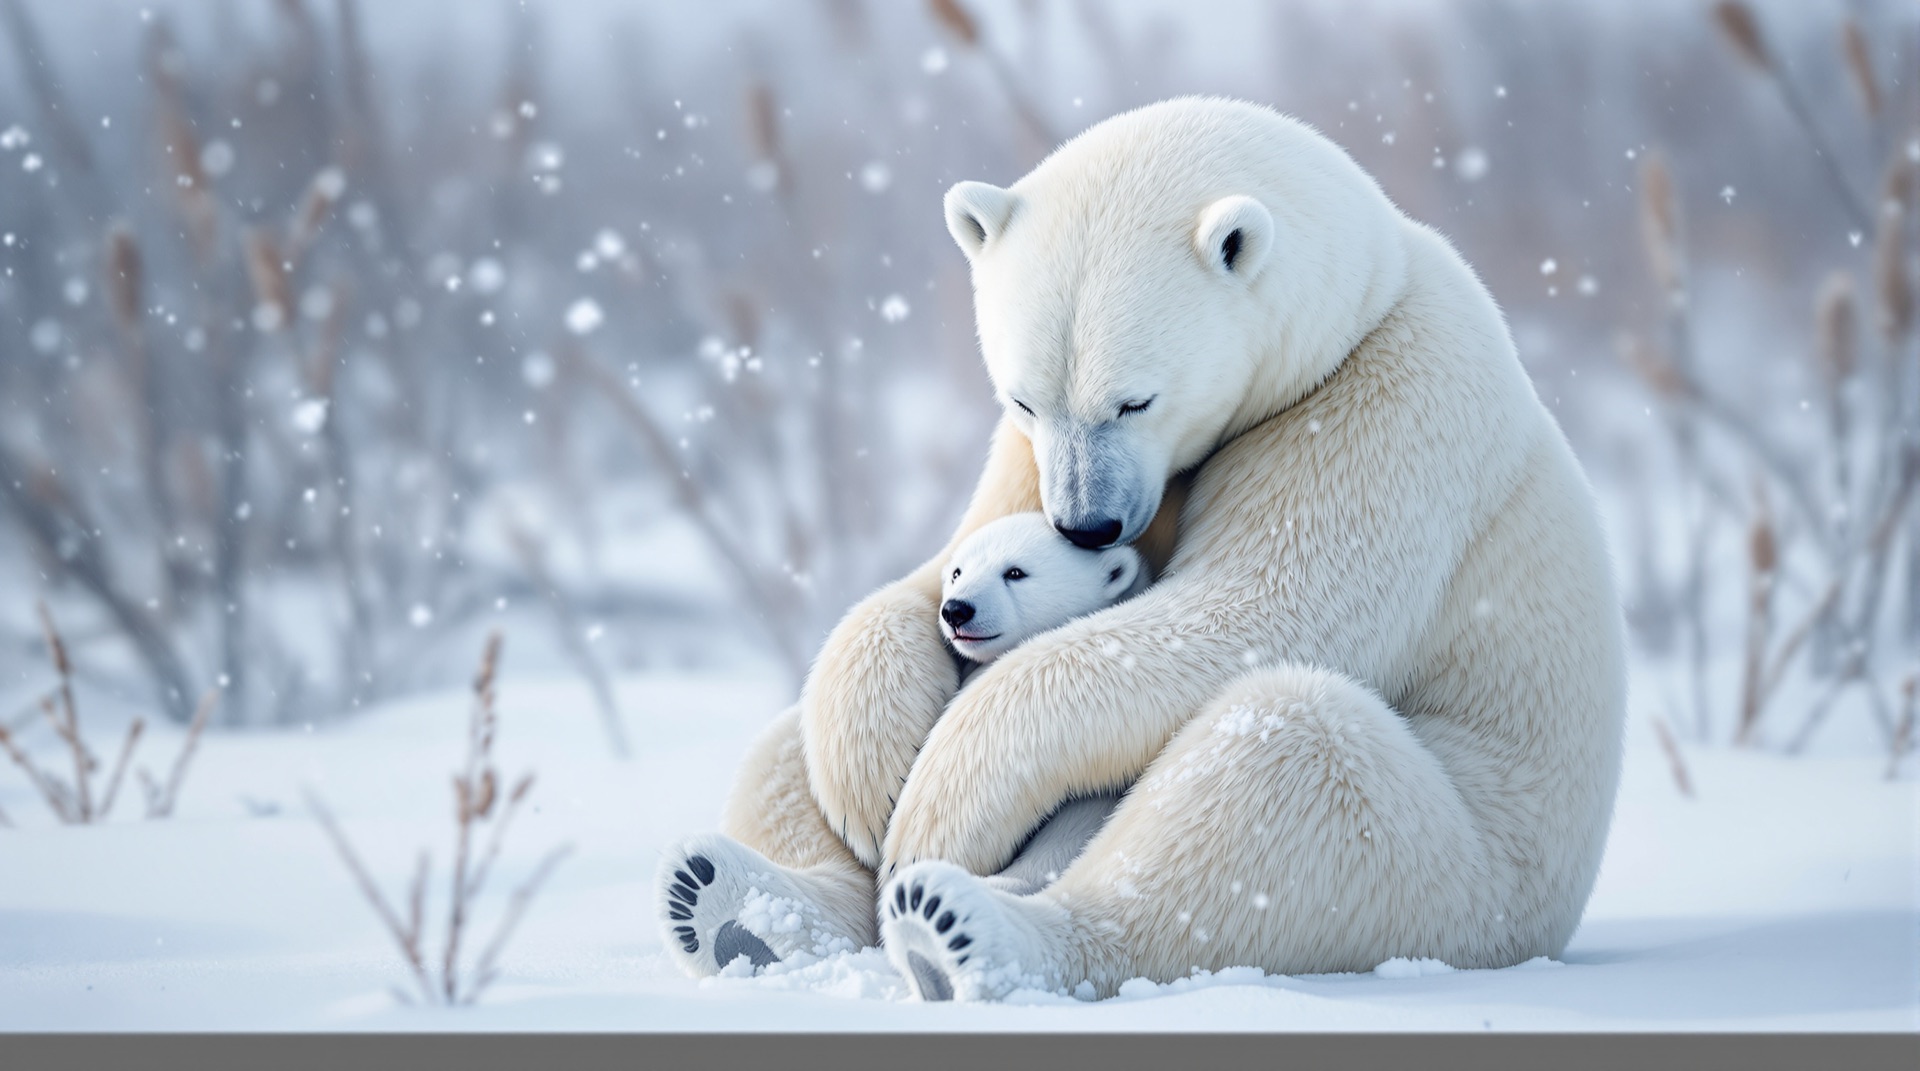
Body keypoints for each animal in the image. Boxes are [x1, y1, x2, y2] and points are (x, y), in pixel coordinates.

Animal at [657, 96, 1625, 1002]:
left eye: (1135, 399)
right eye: (1023, 397)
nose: (1086, 523)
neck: (1363, 299)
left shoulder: (1380, 402)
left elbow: (1256, 610)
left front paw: (935, 811)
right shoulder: (1028, 459)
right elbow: (928, 571)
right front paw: (879, 778)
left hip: (1470, 875)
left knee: (1293, 759)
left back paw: (966, 925)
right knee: (780, 742)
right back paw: (734, 900)